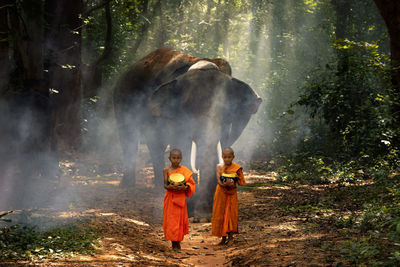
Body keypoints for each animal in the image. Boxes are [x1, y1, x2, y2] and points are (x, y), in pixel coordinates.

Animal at [114, 48, 260, 218]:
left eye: (226, 109)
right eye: (186, 108)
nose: (202, 215)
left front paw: (206, 212)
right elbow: (182, 144)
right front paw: (189, 208)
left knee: (156, 145)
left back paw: (158, 187)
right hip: (123, 99)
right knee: (131, 139)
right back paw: (128, 186)